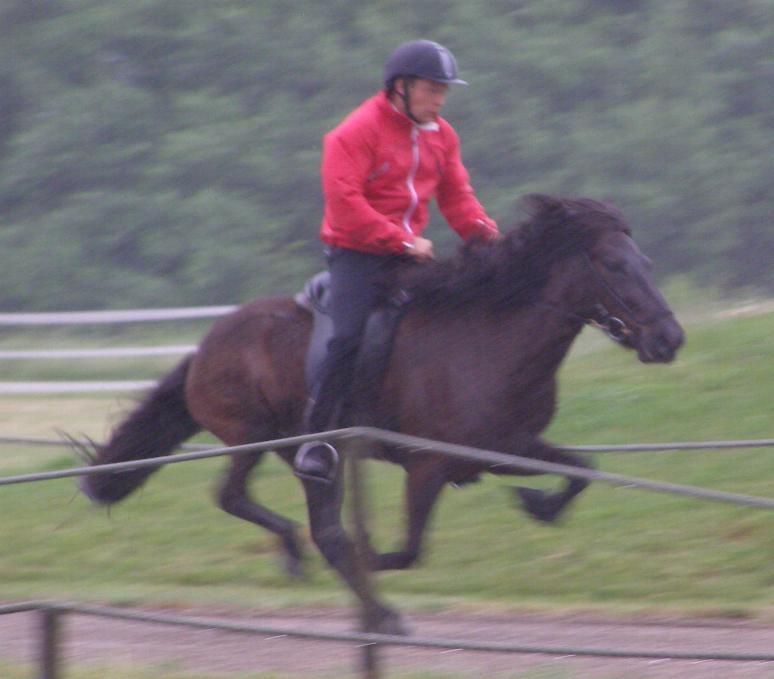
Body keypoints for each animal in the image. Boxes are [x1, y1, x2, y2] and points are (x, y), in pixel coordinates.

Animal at [79, 195, 684, 632]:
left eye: (646, 263)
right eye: (613, 266)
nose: (670, 339)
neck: (493, 338)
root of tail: (207, 344)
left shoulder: (506, 449)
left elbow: (581, 470)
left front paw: (540, 505)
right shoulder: (429, 465)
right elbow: (410, 549)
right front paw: (373, 560)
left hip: (306, 453)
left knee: (316, 523)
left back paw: (353, 592)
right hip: (255, 436)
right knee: (240, 498)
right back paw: (334, 579)